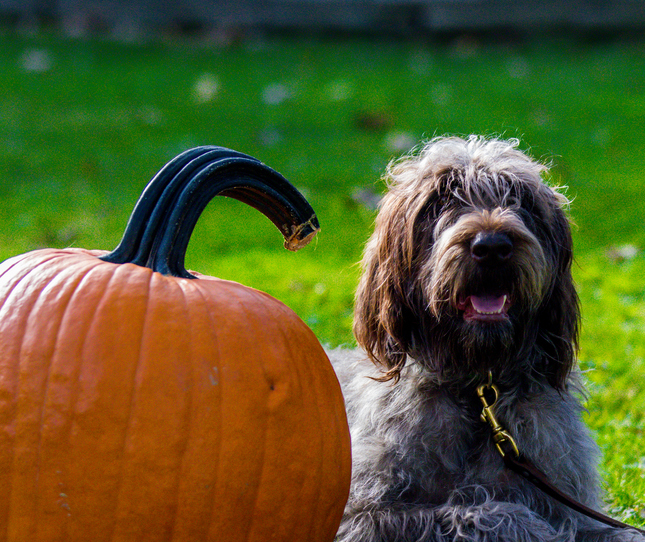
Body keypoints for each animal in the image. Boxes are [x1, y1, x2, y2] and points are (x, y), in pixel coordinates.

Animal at [330, 137, 640, 542]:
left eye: (521, 200)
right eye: (441, 199)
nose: (492, 246)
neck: (478, 390)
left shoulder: (578, 508)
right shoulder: (361, 515)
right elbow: (483, 511)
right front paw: (535, 528)